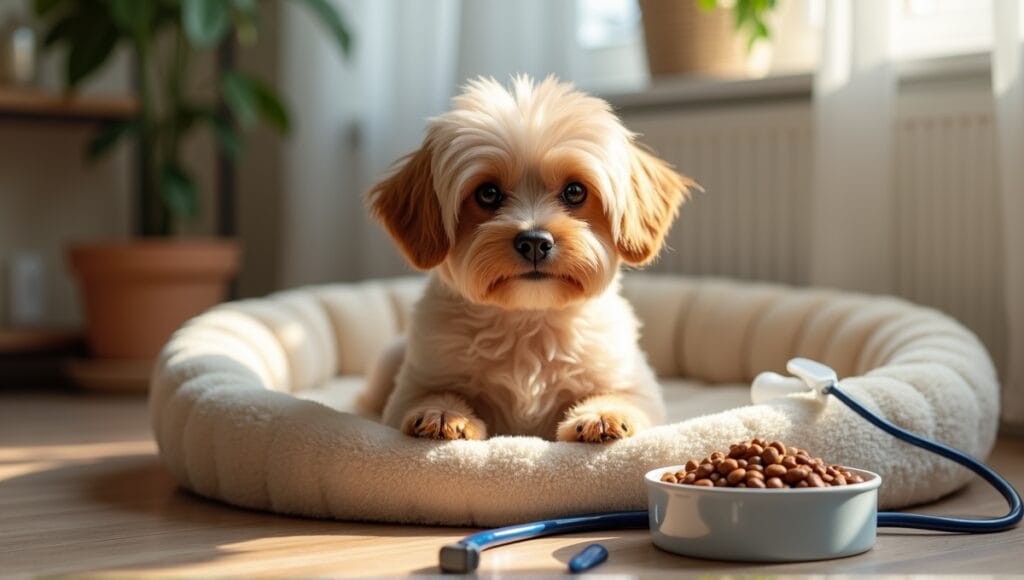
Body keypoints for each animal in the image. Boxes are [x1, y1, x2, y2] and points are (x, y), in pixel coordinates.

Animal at [358, 74, 696, 442]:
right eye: (487, 193)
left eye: (575, 191)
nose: (534, 242)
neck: (529, 320)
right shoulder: (417, 381)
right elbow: (429, 395)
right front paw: (443, 412)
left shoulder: (632, 382)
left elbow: (619, 396)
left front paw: (602, 415)